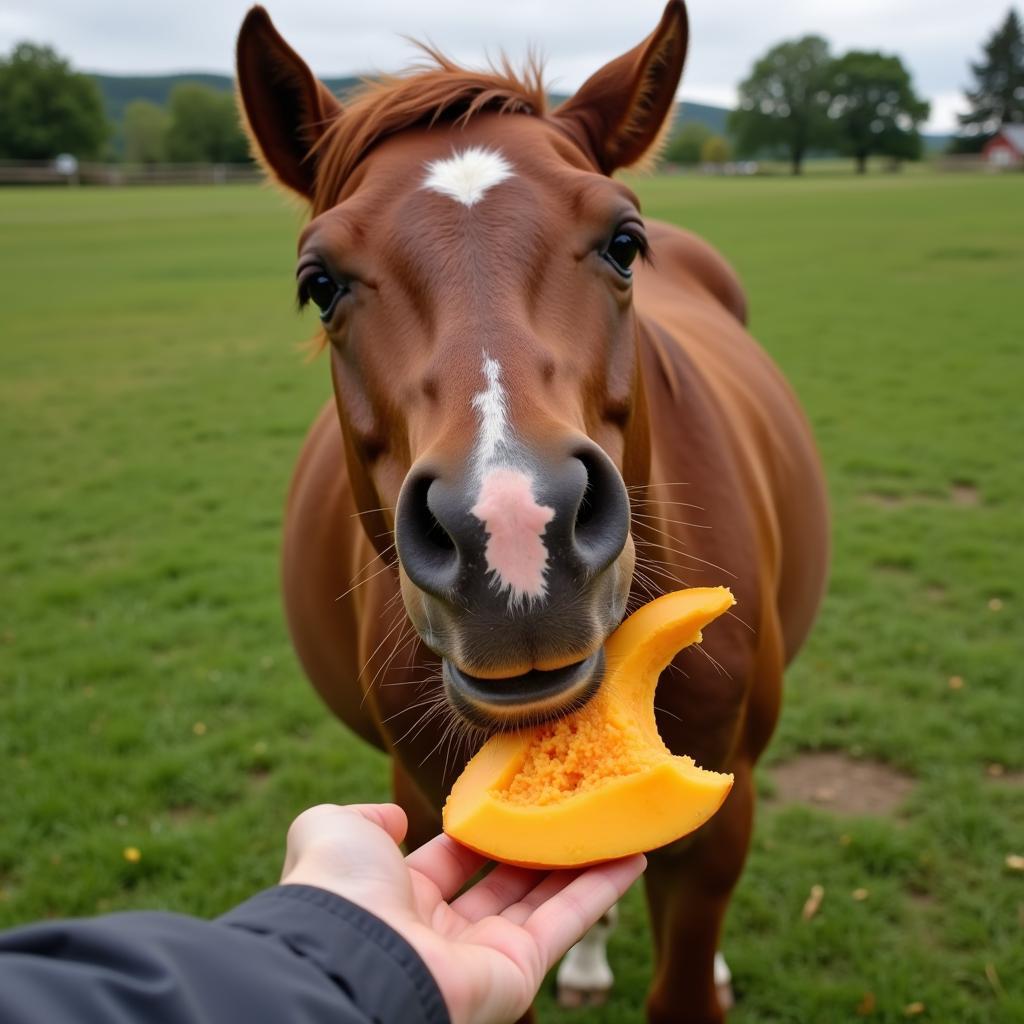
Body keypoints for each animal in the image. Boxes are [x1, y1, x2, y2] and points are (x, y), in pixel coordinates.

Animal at [235, 4, 827, 1019]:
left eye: (623, 243)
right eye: (321, 283)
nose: (511, 532)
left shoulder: (721, 825)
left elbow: (684, 980)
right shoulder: (424, 807)